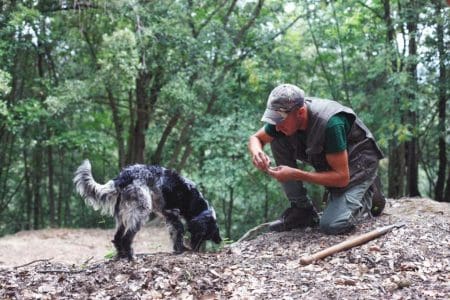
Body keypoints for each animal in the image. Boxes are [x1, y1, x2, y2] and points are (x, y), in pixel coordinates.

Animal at [73, 159, 222, 260]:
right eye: (203, 234)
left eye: (207, 236)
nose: (195, 250)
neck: (194, 200)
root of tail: (124, 176)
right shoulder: (173, 213)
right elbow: (179, 231)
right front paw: (181, 249)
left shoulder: (168, 215)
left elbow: (175, 233)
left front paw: (179, 249)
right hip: (141, 211)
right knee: (126, 238)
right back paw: (131, 257)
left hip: (123, 215)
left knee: (117, 238)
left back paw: (122, 256)